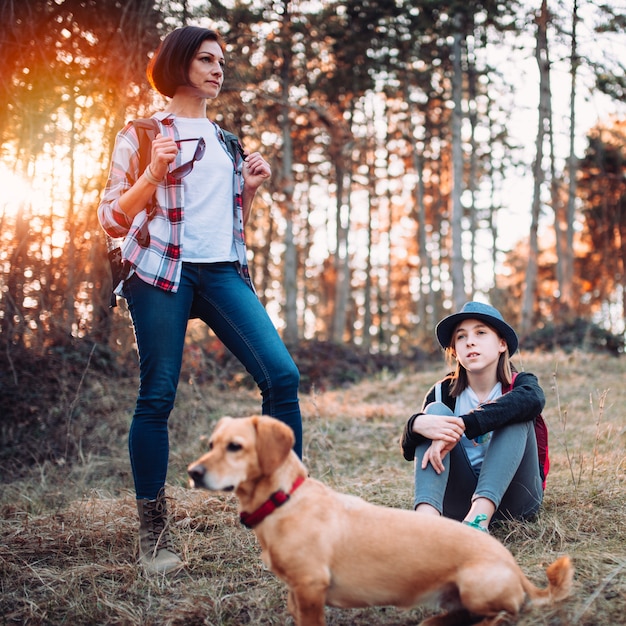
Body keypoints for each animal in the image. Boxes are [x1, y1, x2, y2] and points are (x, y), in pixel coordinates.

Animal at [186, 414, 572, 624]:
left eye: (235, 446)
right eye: (211, 443)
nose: (192, 473)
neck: (285, 501)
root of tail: (516, 570)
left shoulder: (310, 587)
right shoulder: (296, 593)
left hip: (476, 586)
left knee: (503, 615)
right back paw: (434, 621)